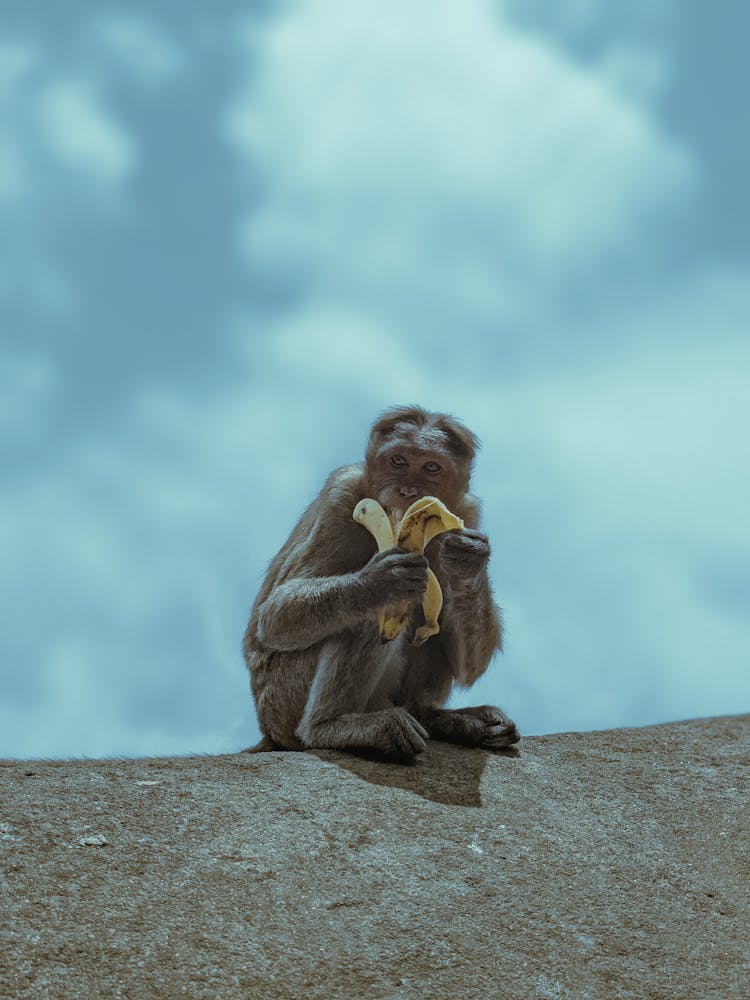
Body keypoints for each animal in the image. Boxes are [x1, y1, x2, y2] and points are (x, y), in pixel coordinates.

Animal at [244, 402, 520, 760]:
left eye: (431, 467)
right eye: (398, 461)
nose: (407, 491)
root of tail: (269, 729)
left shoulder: (467, 511)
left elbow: (470, 665)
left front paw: (469, 560)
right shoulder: (341, 492)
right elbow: (275, 615)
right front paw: (380, 580)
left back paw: (436, 718)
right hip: (282, 698)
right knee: (367, 615)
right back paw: (329, 726)